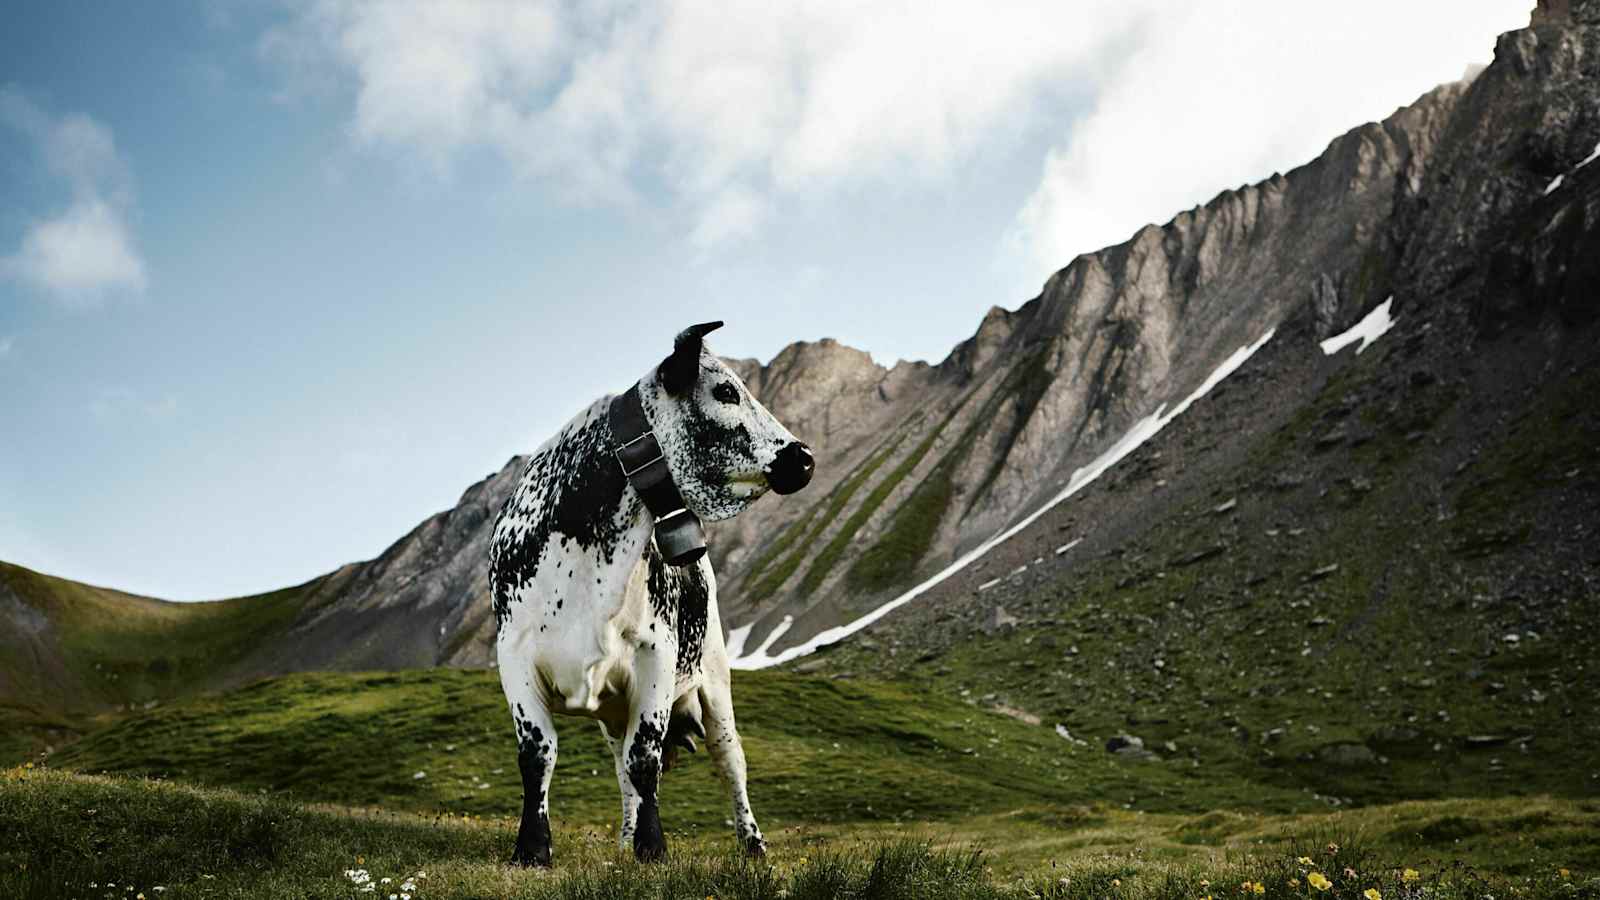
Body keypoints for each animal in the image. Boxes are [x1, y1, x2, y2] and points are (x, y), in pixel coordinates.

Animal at [483, 320, 812, 864]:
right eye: (725, 391)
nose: (803, 457)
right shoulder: (514, 654)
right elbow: (538, 755)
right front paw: (531, 849)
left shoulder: (655, 653)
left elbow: (647, 757)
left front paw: (653, 848)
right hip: (615, 712)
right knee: (621, 771)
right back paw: (623, 838)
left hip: (714, 679)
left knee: (729, 762)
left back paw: (753, 846)